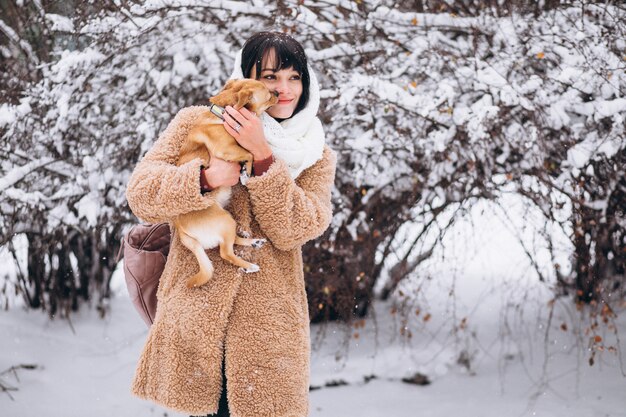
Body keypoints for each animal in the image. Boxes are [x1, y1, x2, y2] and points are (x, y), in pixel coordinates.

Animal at [172, 79, 276, 286]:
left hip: (227, 222)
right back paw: (249, 265)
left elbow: (249, 152)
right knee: (225, 253)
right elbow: (249, 153)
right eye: (269, 94)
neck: (222, 114)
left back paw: (254, 242)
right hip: (225, 221)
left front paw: (245, 171)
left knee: (234, 241)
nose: (277, 93)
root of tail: (182, 232)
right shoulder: (226, 149)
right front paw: (245, 173)